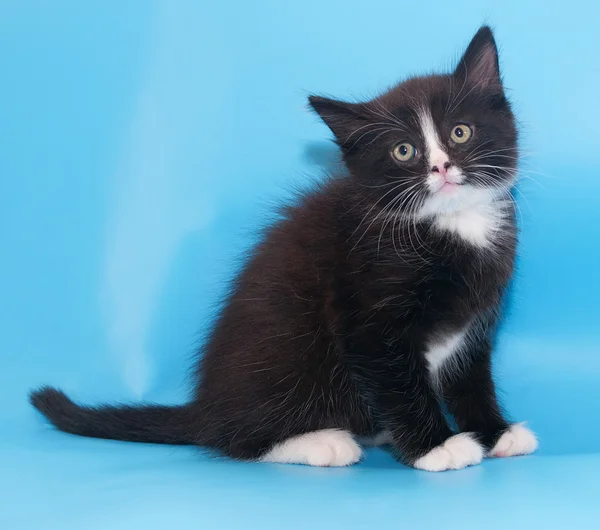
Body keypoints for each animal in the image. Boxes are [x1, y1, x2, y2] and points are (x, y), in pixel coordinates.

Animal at [30, 24, 540, 470]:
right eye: (404, 151)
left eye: (460, 132)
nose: (441, 168)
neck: (450, 226)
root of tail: (207, 405)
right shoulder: (367, 316)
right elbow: (398, 382)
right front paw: (437, 446)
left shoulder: (474, 321)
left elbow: (471, 378)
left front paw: (495, 432)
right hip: (286, 353)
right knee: (235, 440)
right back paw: (322, 441)